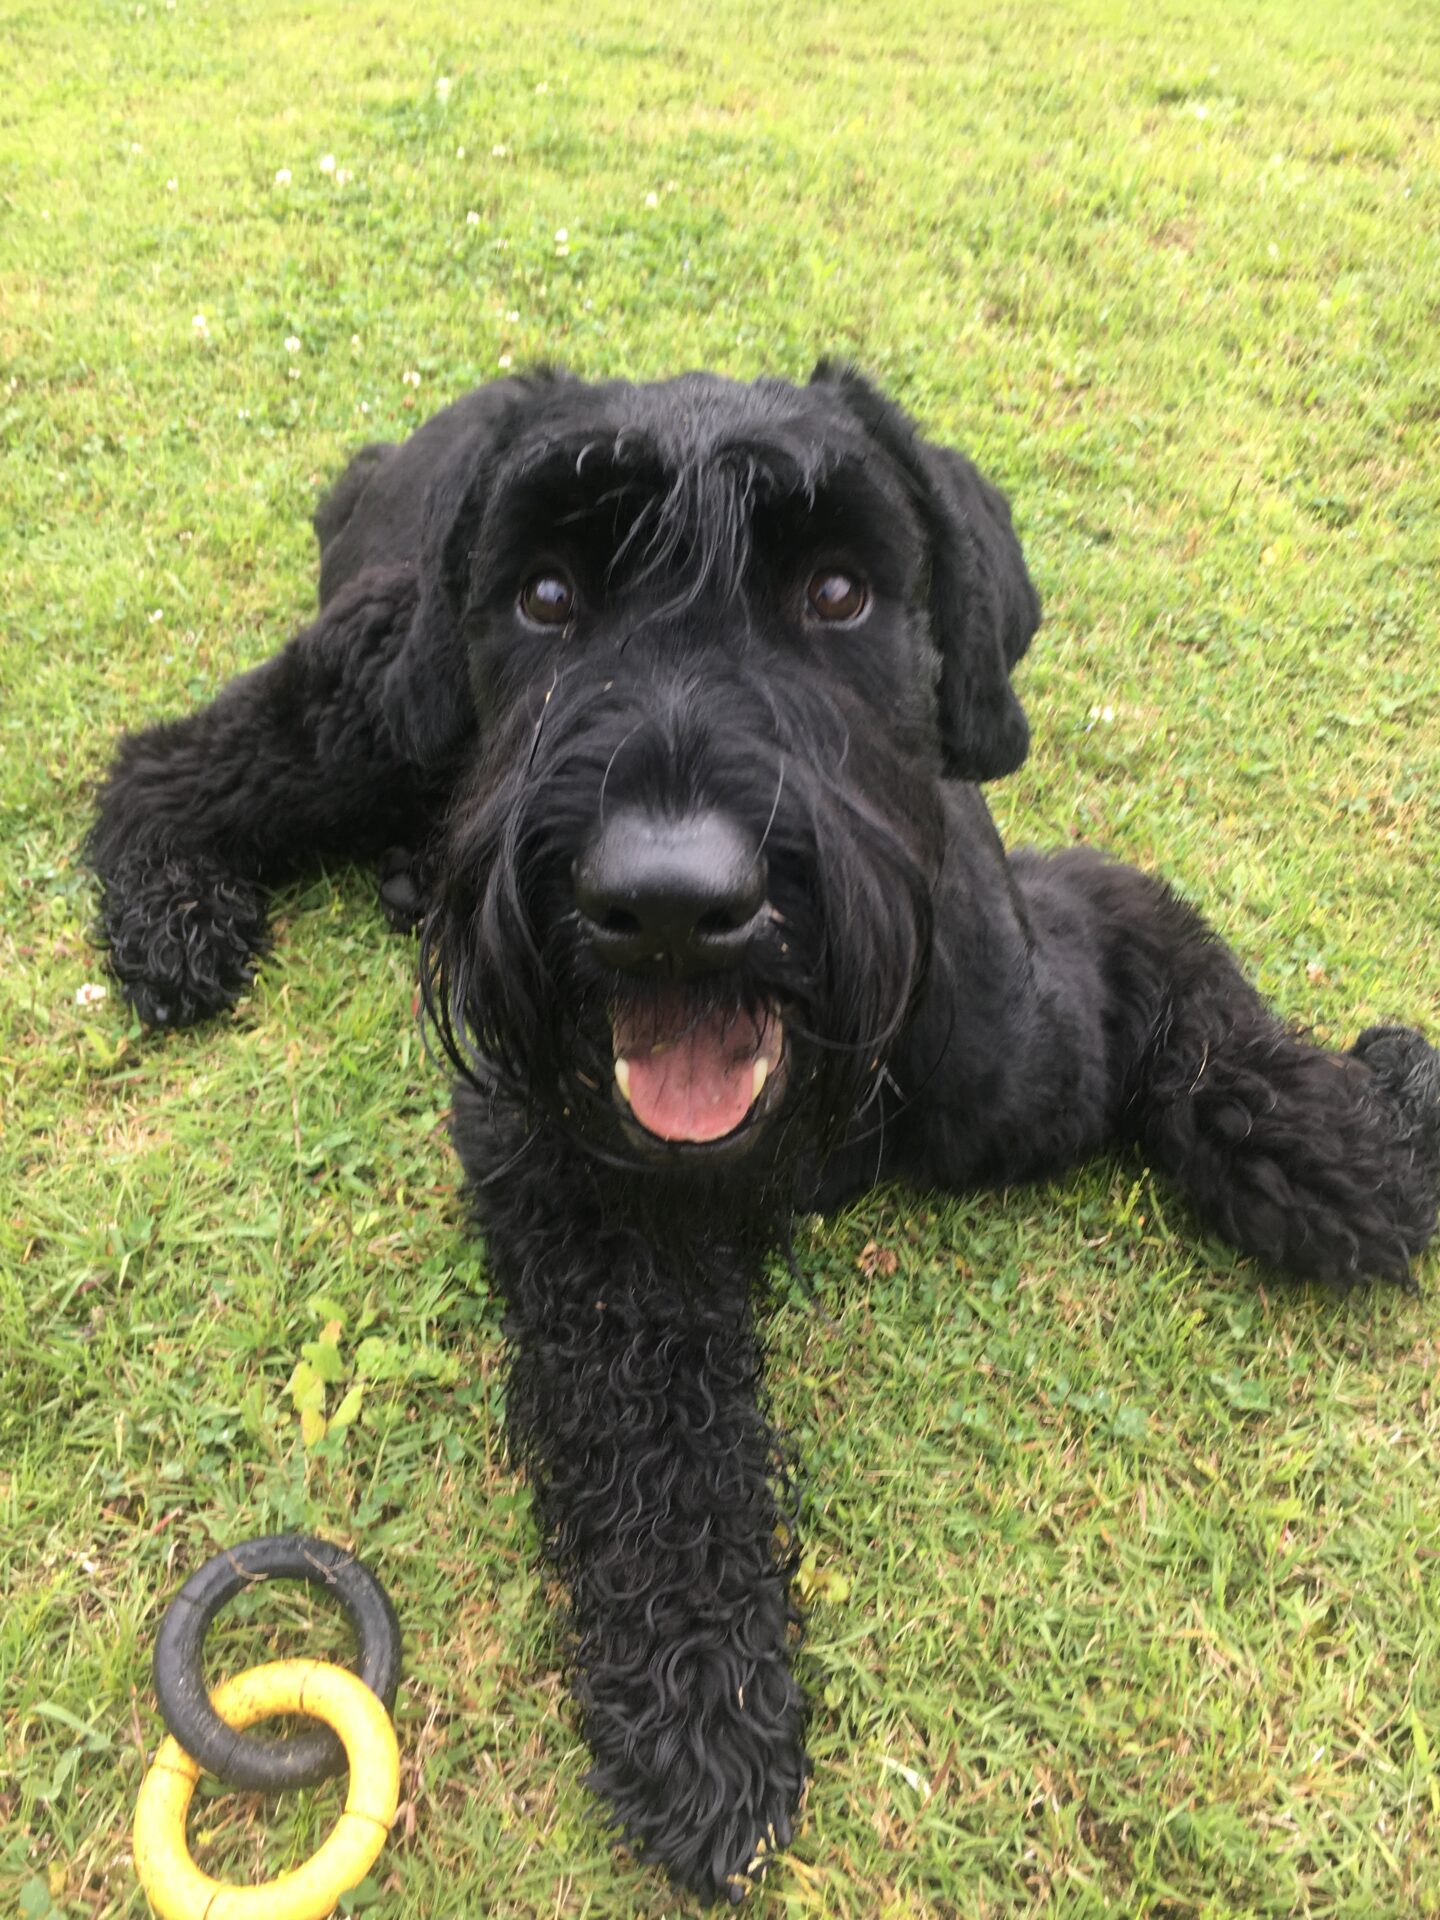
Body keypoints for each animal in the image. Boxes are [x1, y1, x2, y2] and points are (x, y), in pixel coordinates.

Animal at [89, 365, 1440, 1902]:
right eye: (545, 594)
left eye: (839, 591)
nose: (671, 901)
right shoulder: (578, 1186)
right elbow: (651, 1433)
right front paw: (698, 1699)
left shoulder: (1064, 984)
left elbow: (1202, 997)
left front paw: (1346, 1142)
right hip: (378, 698)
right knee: (176, 760)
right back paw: (172, 907)